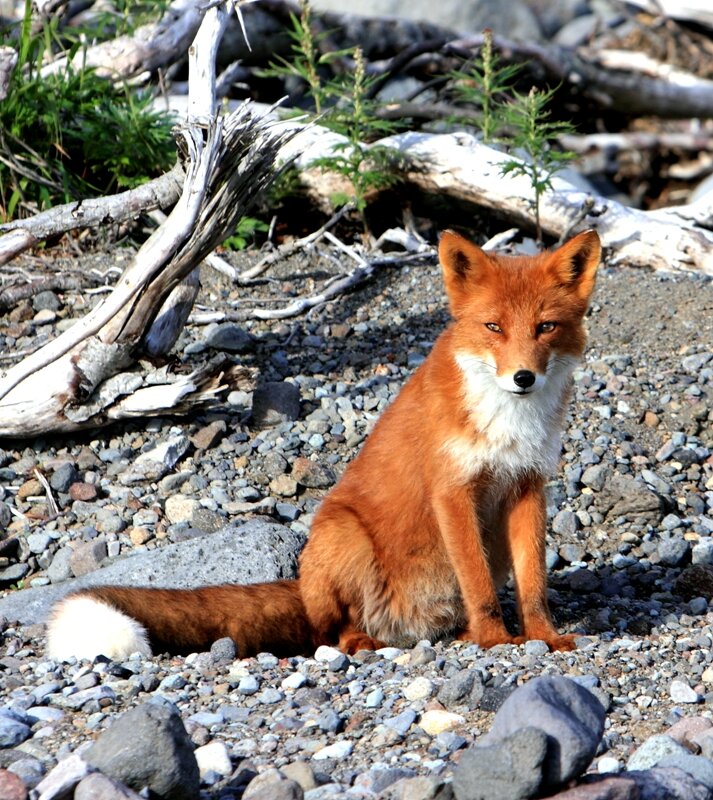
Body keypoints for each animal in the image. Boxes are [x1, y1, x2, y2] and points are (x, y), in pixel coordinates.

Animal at [46, 231, 600, 664]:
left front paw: (543, 637)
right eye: (493, 327)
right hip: (346, 537)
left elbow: (533, 585)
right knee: (329, 633)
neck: (510, 424)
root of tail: (303, 587)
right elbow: (480, 586)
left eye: (545, 327)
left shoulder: (527, 485)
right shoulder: (453, 490)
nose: (523, 378)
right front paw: (494, 640)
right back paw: (365, 643)